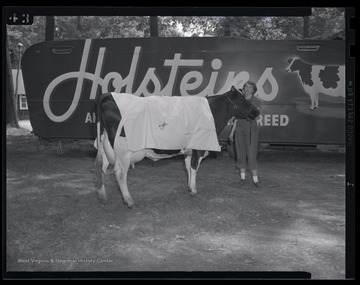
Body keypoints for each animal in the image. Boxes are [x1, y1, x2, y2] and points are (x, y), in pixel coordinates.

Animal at [94, 85, 260, 207]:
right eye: (242, 99)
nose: (257, 111)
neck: (210, 113)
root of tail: (108, 95)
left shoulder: (188, 150)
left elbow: (187, 166)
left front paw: (189, 187)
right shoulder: (198, 148)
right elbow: (194, 167)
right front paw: (194, 190)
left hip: (105, 144)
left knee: (102, 167)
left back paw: (102, 196)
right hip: (124, 150)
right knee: (120, 172)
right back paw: (128, 200)